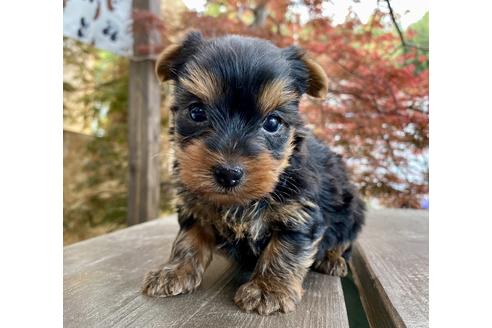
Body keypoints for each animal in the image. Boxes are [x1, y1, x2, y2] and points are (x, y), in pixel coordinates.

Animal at [142, 31, 366, 316]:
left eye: (272, 123)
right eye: (196, 112)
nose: (228, 173)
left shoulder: (301, 211)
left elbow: (287, 247)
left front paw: (268, 288)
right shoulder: (195, 205)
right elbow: (188, 238)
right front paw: (174, 270)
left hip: (352, 210)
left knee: (344, 239)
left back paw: (332, 258)